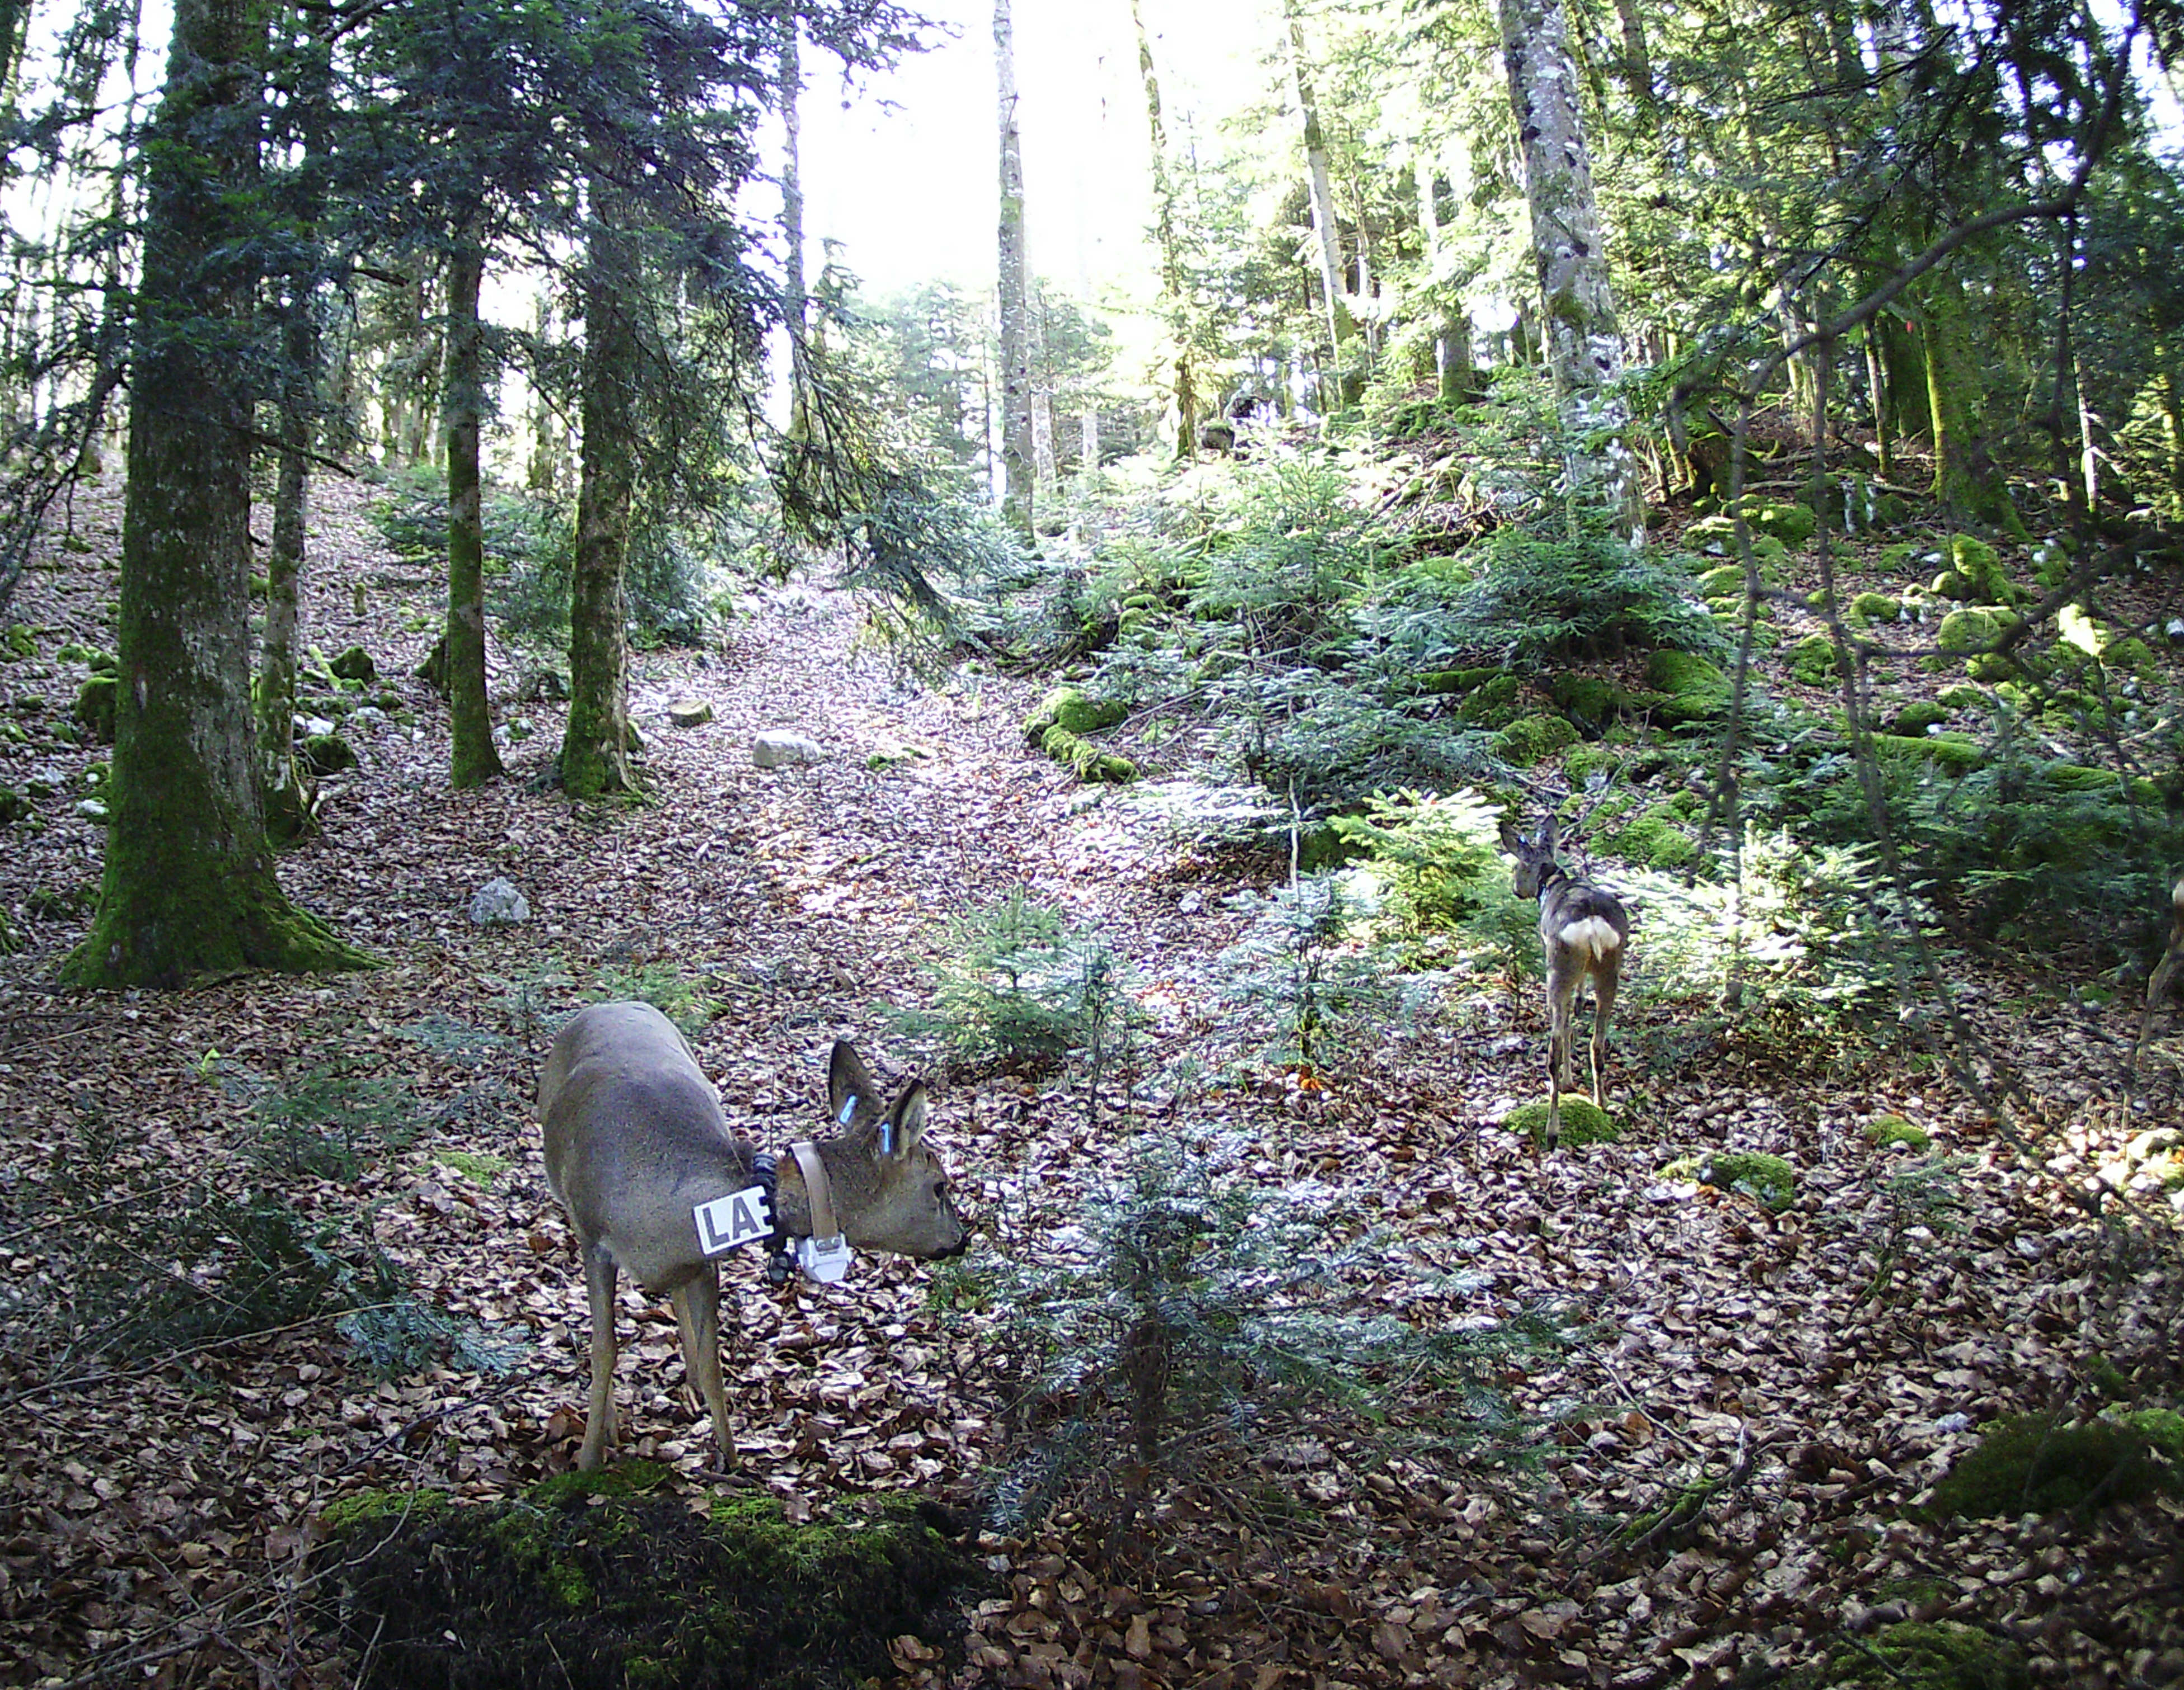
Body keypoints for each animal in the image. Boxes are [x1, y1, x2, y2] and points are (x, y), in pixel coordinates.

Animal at [539, 1004, 965, 1467]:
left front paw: (730, 1459)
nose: (962, 1238)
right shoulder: (593, 1238)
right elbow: (604, 1348)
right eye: (939, 1185)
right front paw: (589, 1457)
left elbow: (712, 1362)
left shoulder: (704, 1261)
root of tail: (607, 1005)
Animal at [1511, 816, 1633, 1162]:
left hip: (1559, 967)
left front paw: (1567, 1081)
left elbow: (1565, 1027)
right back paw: (1602, 1102)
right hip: (1611, 967)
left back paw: (1552, 1131)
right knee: (1598, 1042)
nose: (1516, 889)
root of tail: (1591, 926)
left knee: (1554, 1045)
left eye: (1518, 866)